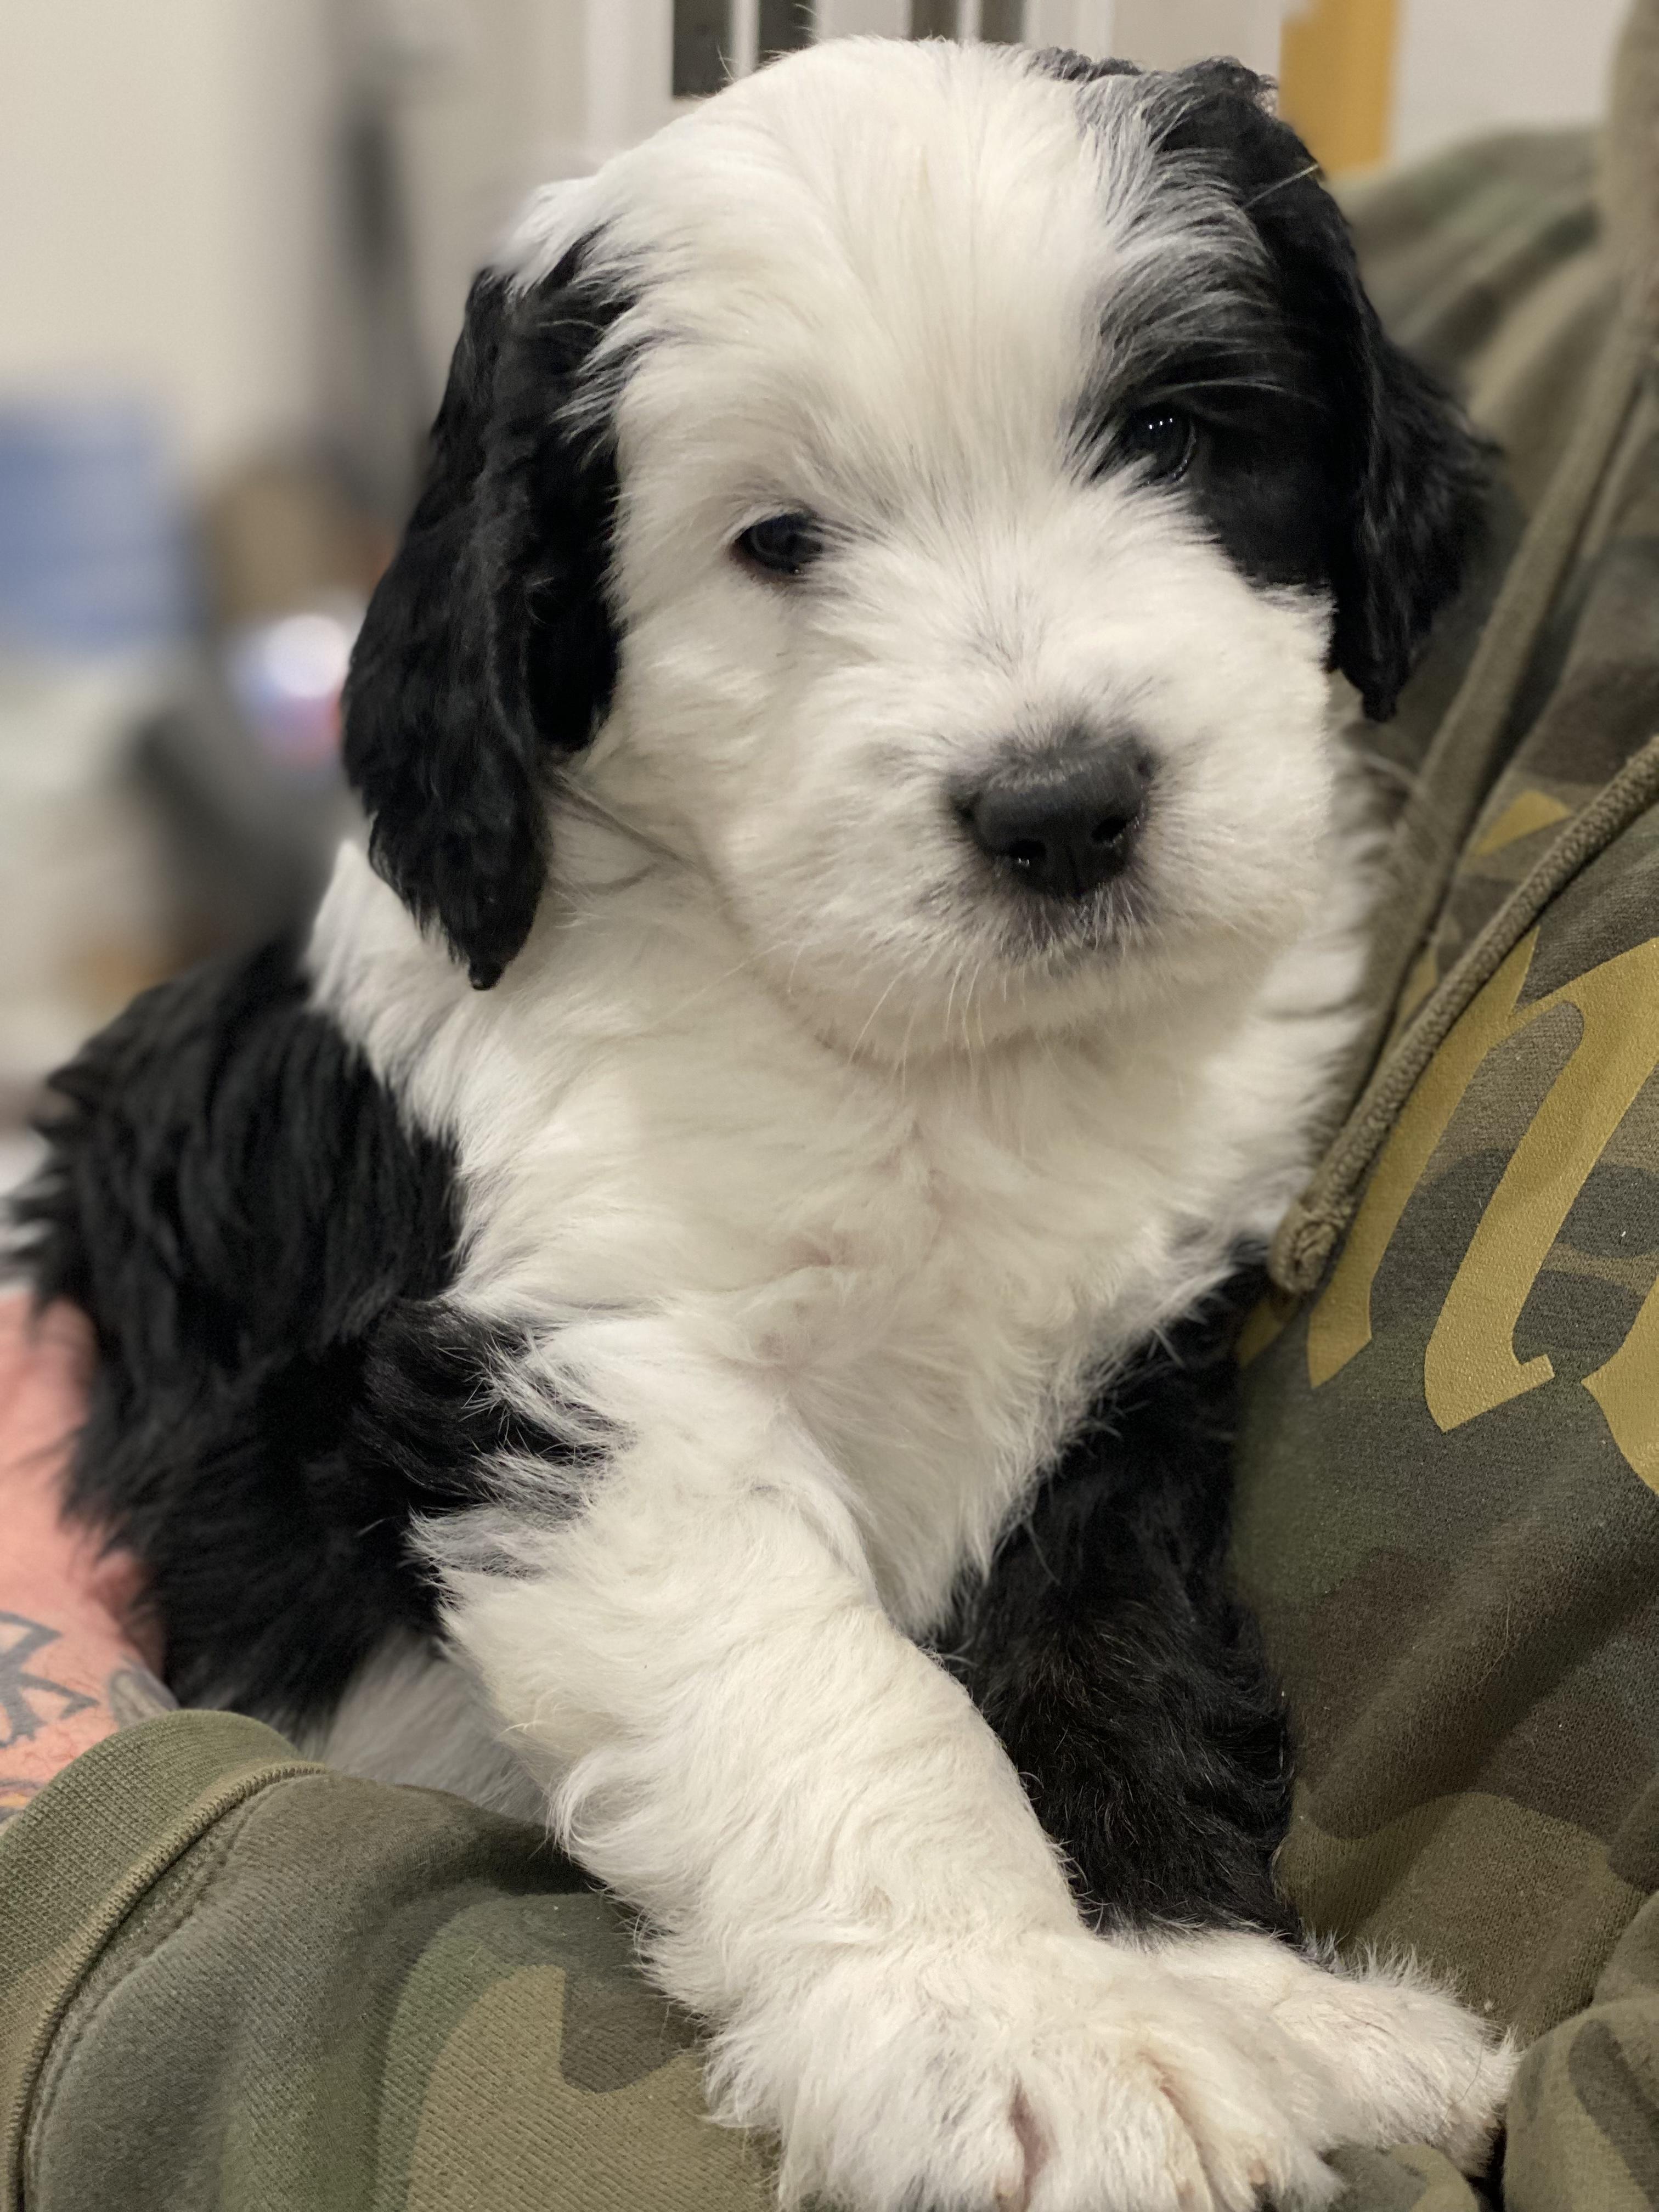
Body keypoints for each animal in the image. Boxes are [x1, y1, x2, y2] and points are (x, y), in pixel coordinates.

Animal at [19, 38, 1511, 2212]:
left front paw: (1237, 2003)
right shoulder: (589, 1373)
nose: (1061, 806)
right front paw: (1021, 2035)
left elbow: (1116, 1657)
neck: (928, 1064)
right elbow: (837, 1698)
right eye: (779, 542)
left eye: (1170, 433)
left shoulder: (1120, 1376)